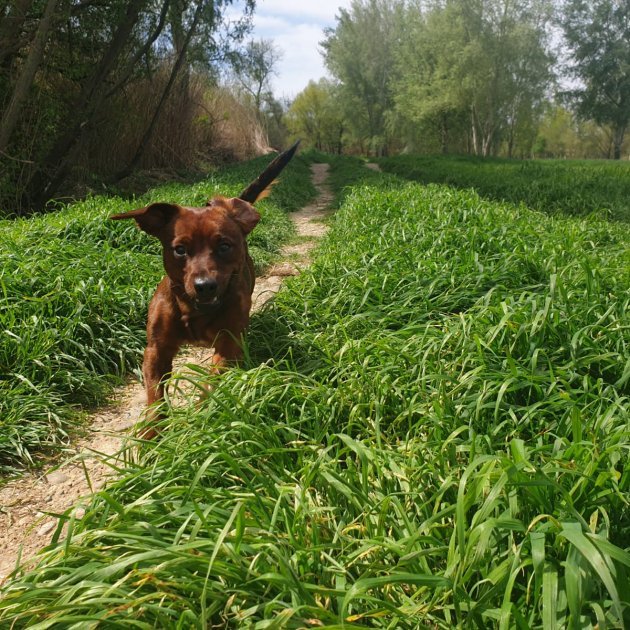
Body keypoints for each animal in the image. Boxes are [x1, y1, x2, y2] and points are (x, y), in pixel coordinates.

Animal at [111, 141, 302, 432]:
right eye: (179, 249)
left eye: (224, 246)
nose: (205, 286)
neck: (194, 311)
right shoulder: (156, 350)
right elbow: (155, 396)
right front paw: (151, 434)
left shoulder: (228, 345)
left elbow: (210, 384)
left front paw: (199, 419)